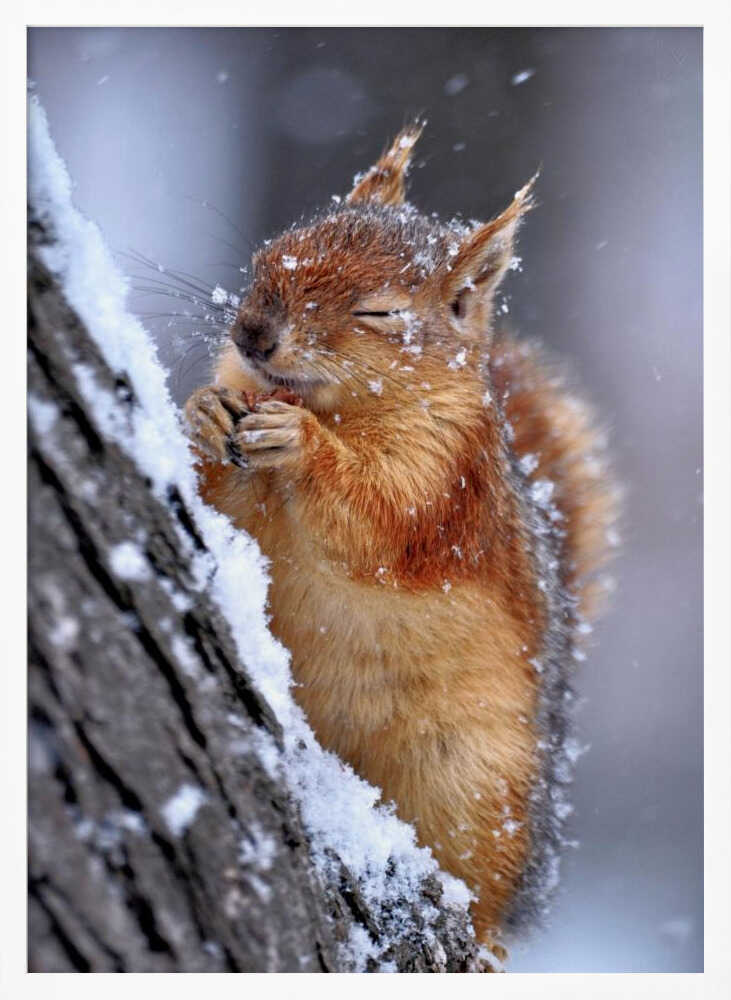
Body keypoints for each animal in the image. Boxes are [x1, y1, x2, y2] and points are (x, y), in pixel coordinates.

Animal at [184, 123, 618, 957]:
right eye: (271, 251)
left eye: (380, 313)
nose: (252, 334)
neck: (334, 406)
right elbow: (217, 491)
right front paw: (205, 409)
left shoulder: (443, 484)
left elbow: (379, 521)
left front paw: (305, 447)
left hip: (470, 780)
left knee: (480, 893)